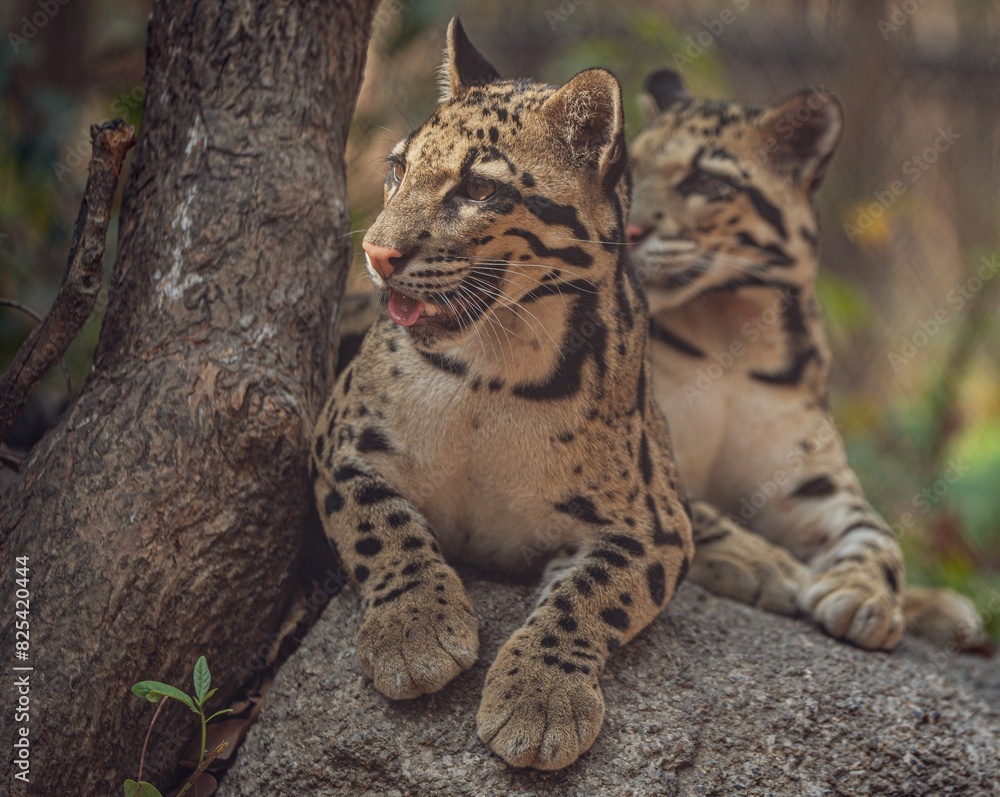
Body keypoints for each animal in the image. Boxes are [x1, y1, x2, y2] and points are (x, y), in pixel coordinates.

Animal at [311, 20, 693, 771]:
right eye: (398, 169)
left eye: (477, 188)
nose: (376, 253)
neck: (491, 371)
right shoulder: (338, 440)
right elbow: (380, 524)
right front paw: (416, 632)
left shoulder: (655, 522)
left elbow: (590, 594)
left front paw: (541, 700)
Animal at [626, 68, 985, 653]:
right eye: (626, 170)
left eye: (706, 181)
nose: (626, 230)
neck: (728, 333)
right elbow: (695, 510)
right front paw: (768, 566)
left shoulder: (812, 481)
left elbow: (876, 537)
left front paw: (865, 597)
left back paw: (944, 608)